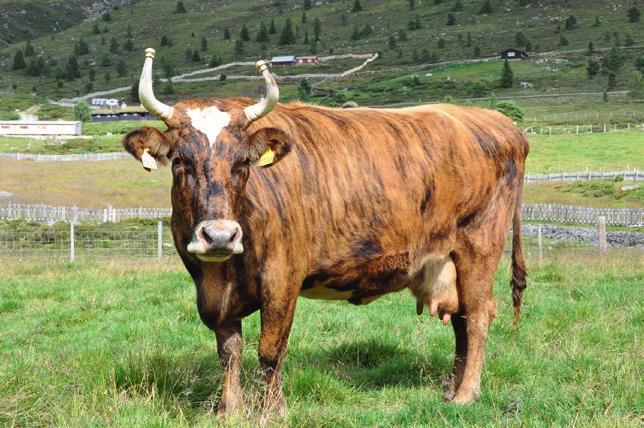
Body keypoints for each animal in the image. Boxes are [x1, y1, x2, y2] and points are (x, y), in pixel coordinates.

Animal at [122, 48, 528, 416]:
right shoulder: (212, 292)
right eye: (179, 161)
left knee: (477, 316)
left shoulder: (282, 279)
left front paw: (273, 411)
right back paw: (450, 390)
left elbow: (270, 350)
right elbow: (230, 352)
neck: (224, 271)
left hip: (479, 246)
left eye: (243, 162)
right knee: (461, 321)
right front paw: (229, 410)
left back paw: (466, 396)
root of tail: (499, 123)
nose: (220, 236)